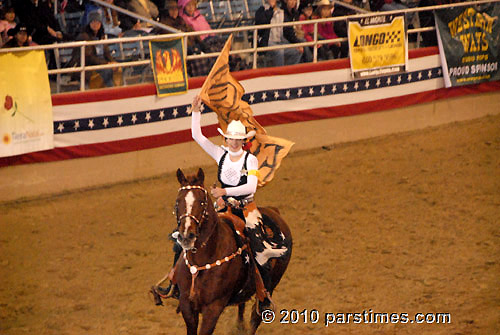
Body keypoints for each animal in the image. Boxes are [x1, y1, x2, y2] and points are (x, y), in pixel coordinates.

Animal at [171, 169, 292, 335]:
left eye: (201, 202)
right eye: (178, 202)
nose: (186, 236)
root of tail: (274, 211)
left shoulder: (213, 308)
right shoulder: (187, 306)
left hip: (272, 284)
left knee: (256, 317)